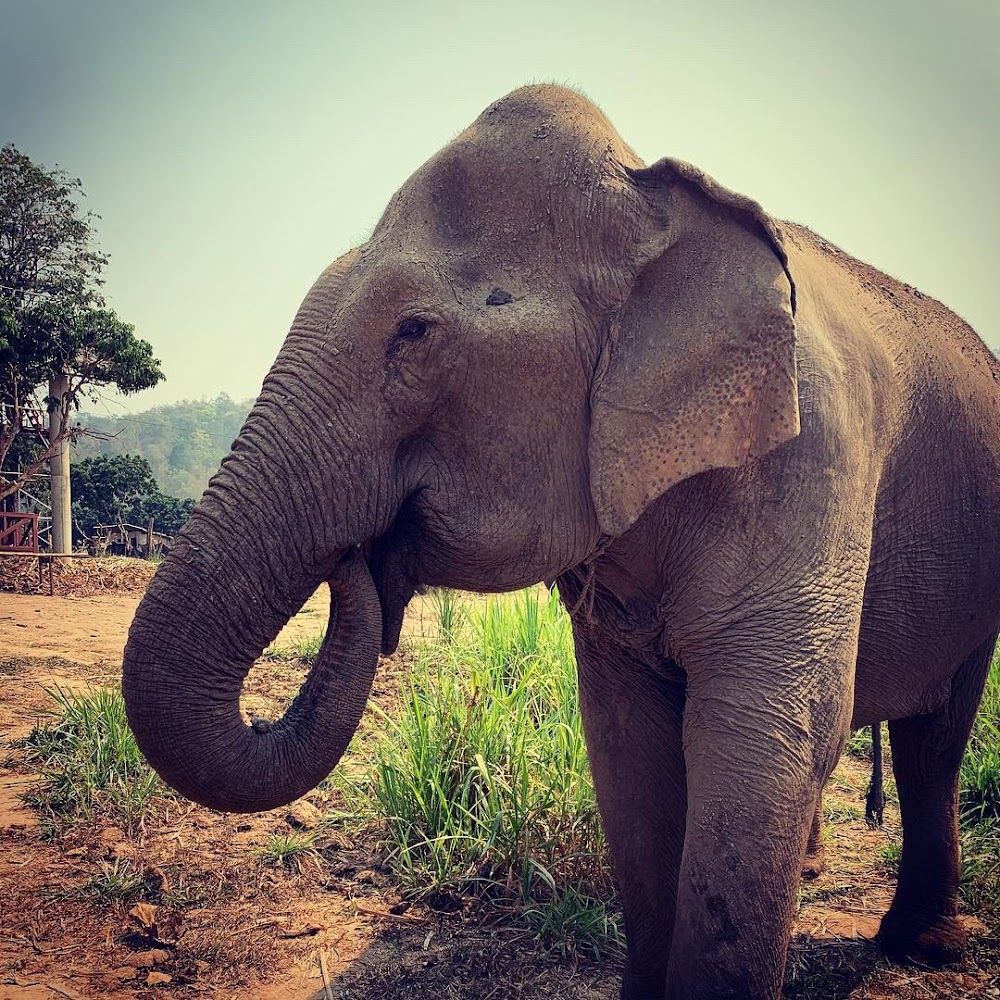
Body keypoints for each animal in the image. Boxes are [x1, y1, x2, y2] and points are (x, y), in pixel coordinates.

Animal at [125, 88, 1000, 1000]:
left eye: (414, 331)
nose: (359, 558)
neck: (654, 204)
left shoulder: (814, 459)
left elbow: (764, 733)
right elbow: (626, 741)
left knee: (936, 735)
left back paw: (924, 946)